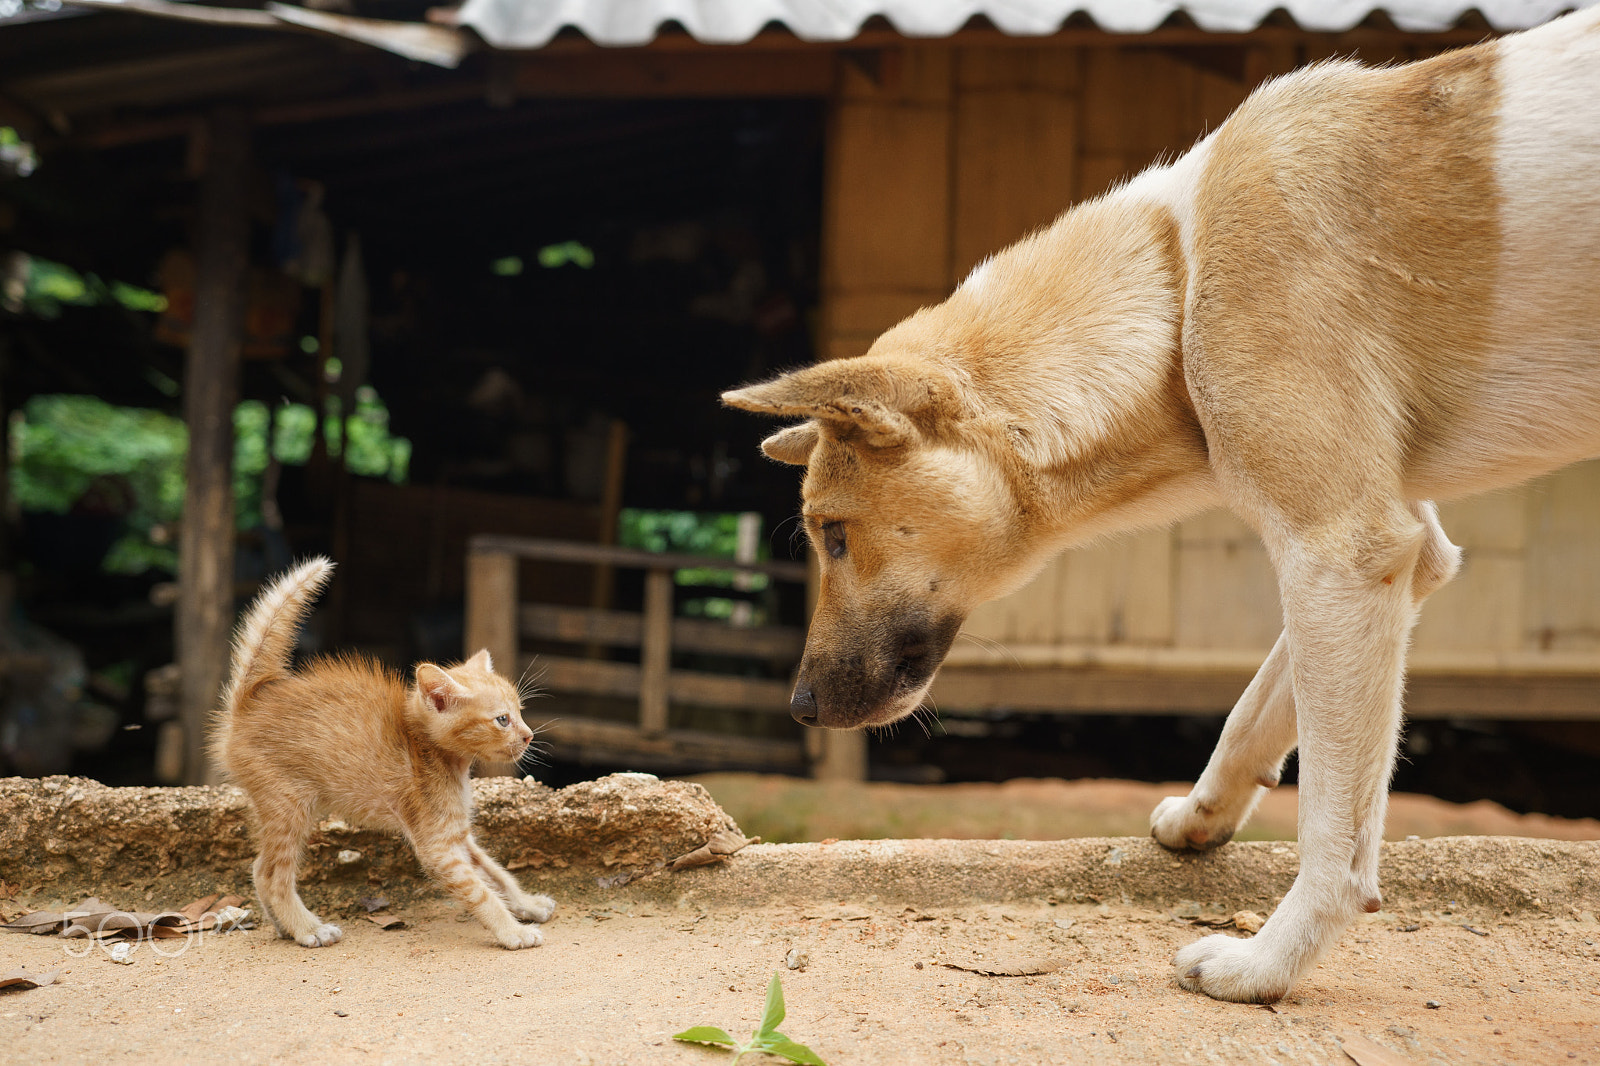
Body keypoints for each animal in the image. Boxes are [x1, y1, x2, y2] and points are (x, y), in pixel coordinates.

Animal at [211, 557, 556, 947]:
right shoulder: (438, 846)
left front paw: (528, 904)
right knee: (272, 875)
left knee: (258, 867)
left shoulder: (458, 834)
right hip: (289, 805)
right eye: (502, 719)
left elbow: (495, 873)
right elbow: (480, 891)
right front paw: (513, 931)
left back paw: (286, 928)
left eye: (521, 712)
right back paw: (309, 929)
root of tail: (248, 702)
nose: (528, 735)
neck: (438, 755)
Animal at [726, 8, 1600, 998]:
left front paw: (1268, 964)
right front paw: (1204, 816)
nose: (798, 707)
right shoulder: (1392, 558)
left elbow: (1336, 829)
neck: (1179, 280)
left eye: (833, 536)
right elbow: (1258, 708)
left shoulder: (1339, 552)